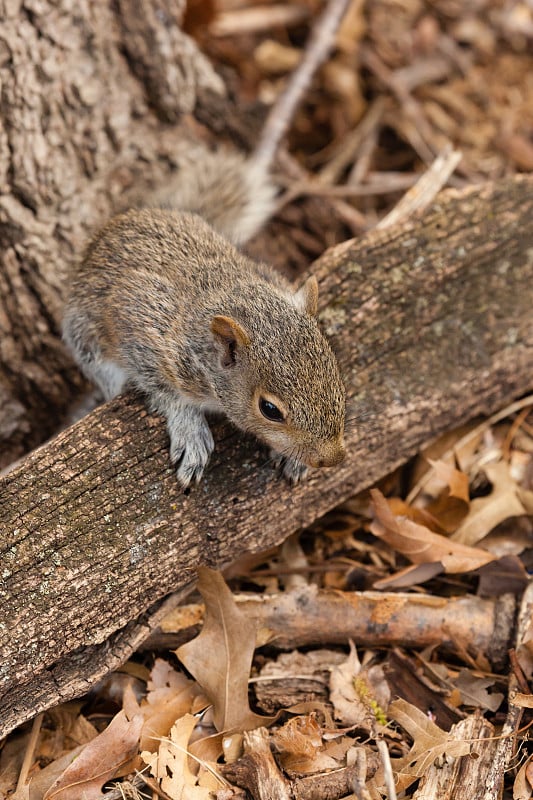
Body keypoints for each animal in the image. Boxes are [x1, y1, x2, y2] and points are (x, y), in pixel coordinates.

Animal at [62, 147, 344, 490]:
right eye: (269, 410)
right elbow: (166, 391)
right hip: (87, 340)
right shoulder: (141, 323)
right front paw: (189, 429)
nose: (333, 459)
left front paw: (292, 458)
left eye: (333, 372)